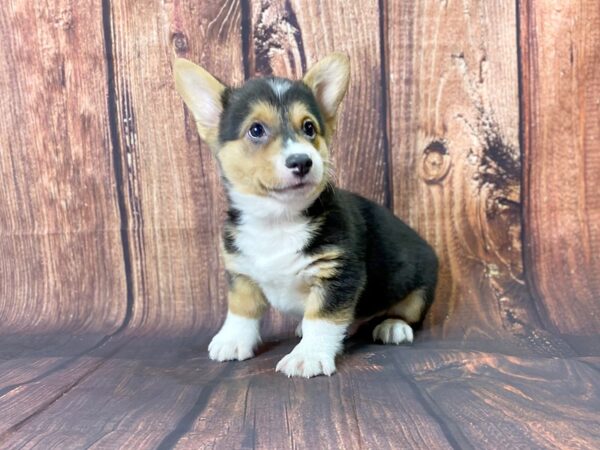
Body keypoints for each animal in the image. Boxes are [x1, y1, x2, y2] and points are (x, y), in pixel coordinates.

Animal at [171, 54, 438, 380]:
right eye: (256, 130)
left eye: (309, 127)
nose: (301, 161)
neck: (278, 219)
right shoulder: (241, 272)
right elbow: (242, 309)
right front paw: (233, 340)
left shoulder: (338, 276)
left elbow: (321, 319)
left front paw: (307, 356)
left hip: (420, 285)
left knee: (408, 313)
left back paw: (392, 326)